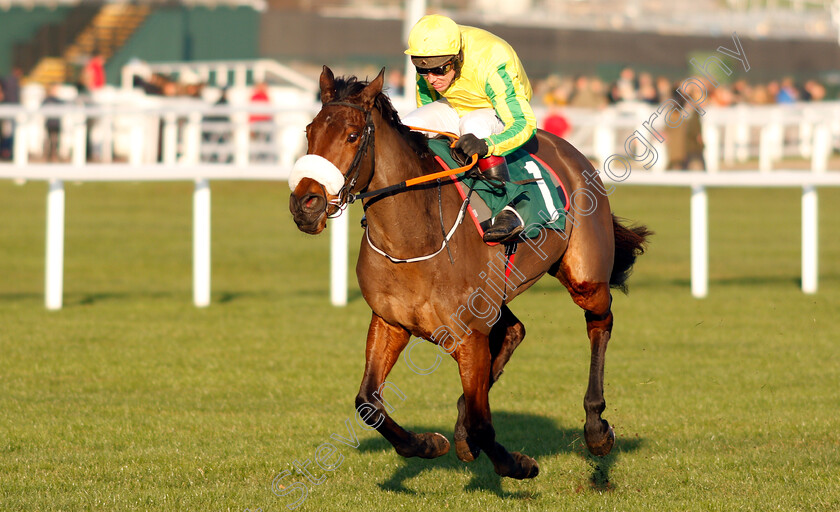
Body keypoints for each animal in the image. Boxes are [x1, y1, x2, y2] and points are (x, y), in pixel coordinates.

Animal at [288, 66, 648, 478]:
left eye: (351, 135)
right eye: (309, 131)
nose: (305, 203)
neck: (415, 239)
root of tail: (572, 152)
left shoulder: (470, 333)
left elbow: (482, 423)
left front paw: (518, 463)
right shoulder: (390, 322)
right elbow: (368, 403)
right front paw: (429, 443)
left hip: (585, 276)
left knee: (600, 321)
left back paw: (596, 428)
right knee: (514, 330)